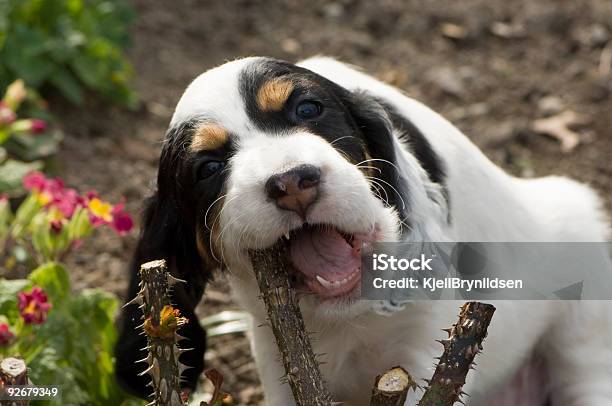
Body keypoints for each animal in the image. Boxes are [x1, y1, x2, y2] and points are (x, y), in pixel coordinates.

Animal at [116, 57, 612, 406]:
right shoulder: (276, 356)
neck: (347, 319)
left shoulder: (422, 351)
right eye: (208, 167)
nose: (292, 183)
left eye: (309, 109)